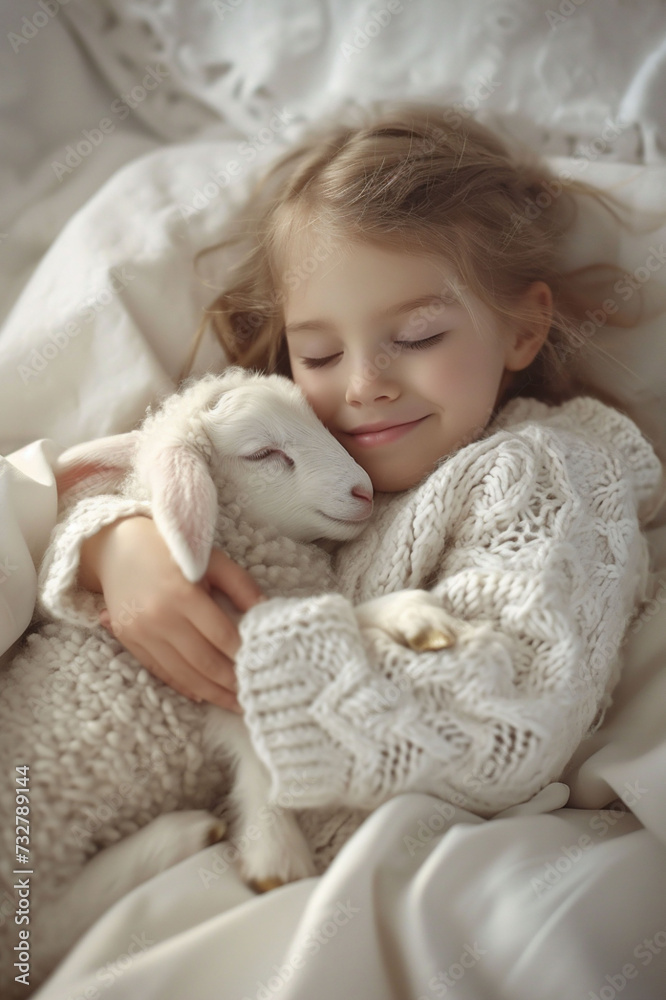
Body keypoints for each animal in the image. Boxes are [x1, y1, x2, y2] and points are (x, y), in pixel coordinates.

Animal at [0, 366, 460, 992]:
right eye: (263, 454)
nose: (364, 492)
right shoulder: (210, 670)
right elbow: (256, 732)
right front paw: (276, 855)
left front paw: (413, 616)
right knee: (44, 930)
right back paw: (175, 840)